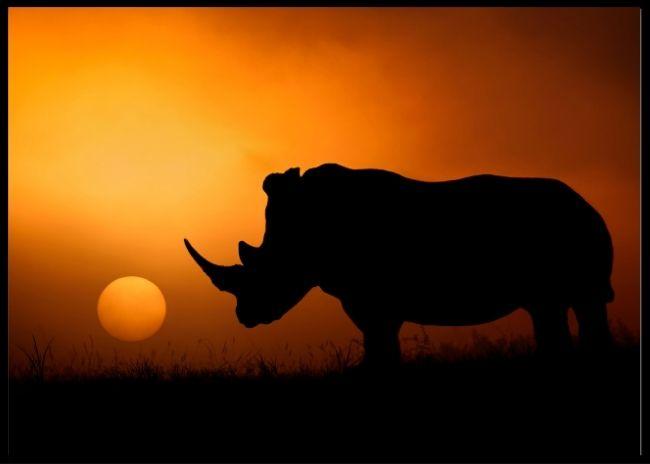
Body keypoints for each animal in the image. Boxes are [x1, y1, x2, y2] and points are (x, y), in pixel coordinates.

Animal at [185, 163, 614, 366]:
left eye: (264, 272)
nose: (245, 316)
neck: (302, 234)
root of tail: (588, 204)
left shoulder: (372, 298)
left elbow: (379, 343)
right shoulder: (368, 299)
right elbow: (381, 343)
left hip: (571, 230)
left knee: (575, 303)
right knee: (554, 308)